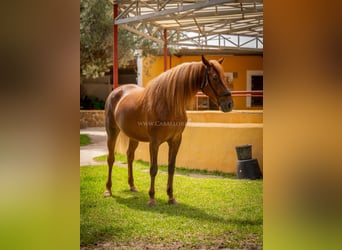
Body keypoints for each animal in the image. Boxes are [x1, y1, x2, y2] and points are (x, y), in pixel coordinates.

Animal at [103, 55, 234, 206]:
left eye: (224, 76)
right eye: (214, 77)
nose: (229, 104)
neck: (168, 103)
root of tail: (115, 92)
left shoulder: (175, 140)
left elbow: (171, 168)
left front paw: (171, 197)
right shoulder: (154, 142)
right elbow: (153, 169)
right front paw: (152, 198)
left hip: (133, 136)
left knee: (130, 156)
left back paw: (132, 186)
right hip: (112, 132)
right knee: (110, 159)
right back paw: (108, 190)